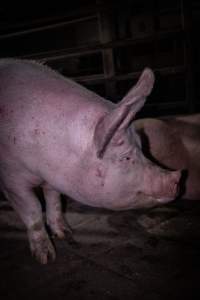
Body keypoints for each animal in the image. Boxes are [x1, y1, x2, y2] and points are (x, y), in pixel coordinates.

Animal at [0, 58, 180, 262]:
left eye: (143, 147)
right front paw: (47, 258)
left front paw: (66, 234)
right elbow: (34, 210)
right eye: (126, 157)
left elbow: (54, 201)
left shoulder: (53, 178)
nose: (178, 178)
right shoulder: (11, 179)